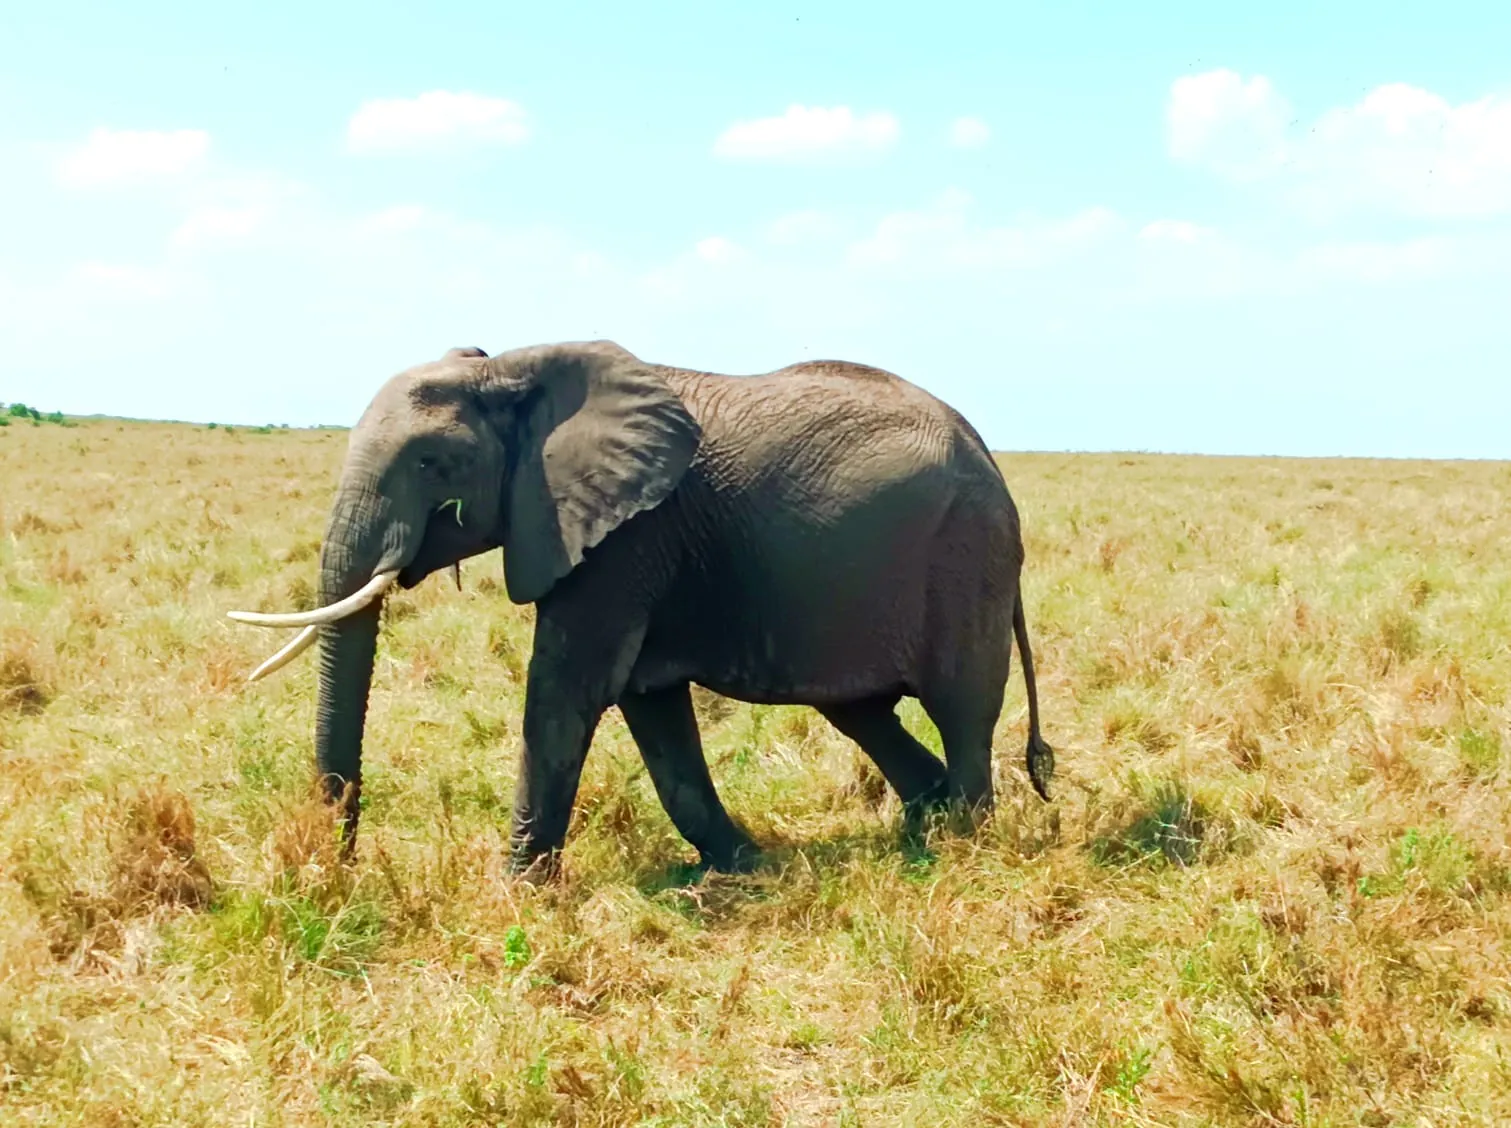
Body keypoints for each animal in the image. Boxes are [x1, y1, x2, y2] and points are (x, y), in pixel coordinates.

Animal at [229, 339, 1054, 879]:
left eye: (432, 464)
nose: (334, 869)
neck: (512, 367)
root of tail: (988, 454)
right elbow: (649, 704)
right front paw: (741, 866)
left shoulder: (626, 536)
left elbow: (567, 690)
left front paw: (517, 889)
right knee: (860, 710)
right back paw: (924, 824)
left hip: (965, 554)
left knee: (961, 708)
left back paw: (962, 842)